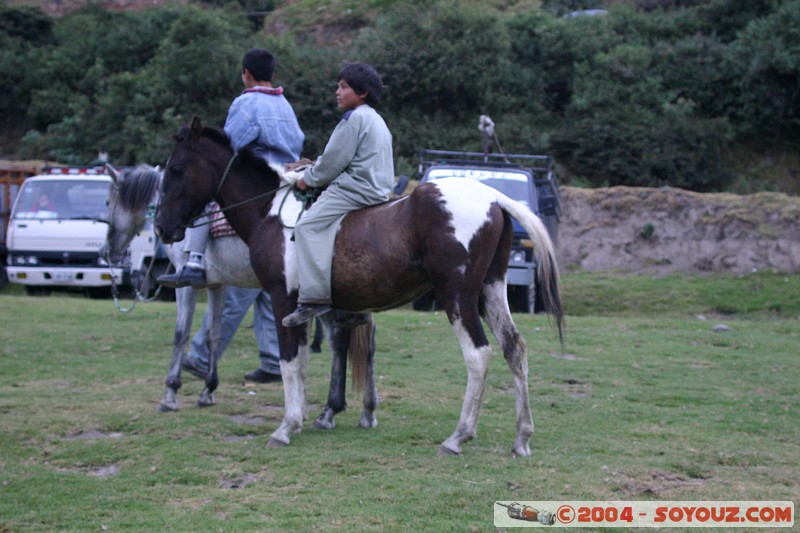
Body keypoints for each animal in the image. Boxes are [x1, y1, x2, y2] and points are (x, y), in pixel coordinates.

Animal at [153, 115, 560, 454]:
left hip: (457, 296)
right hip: (489, 291)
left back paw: (458, 436)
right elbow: (303, 359)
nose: (161, 227)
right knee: (514, 348)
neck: (269, 212)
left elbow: (289, 361)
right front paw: (308, 416)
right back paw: (521, 437)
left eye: (176, 168)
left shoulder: (283, 298)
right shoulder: (306, 308)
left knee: (478, 355)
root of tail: (493, 197)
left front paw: (287, 425)